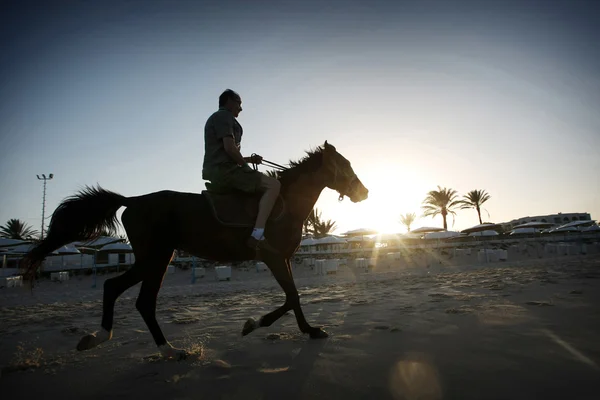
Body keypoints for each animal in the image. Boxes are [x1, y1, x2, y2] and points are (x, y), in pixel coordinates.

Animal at [21, 141, 368, 360]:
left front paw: (308, 330)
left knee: (116, 289)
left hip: (154, 259)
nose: (364, 192)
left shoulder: (283, 258)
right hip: (156, 258)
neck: (285, 204)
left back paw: (101, 338)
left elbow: (294, 297)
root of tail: (134, 200)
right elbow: (292, 297)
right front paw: (255, 324)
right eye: (344, 165)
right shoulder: (272, 257)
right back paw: (167, 350)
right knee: (138, 299)